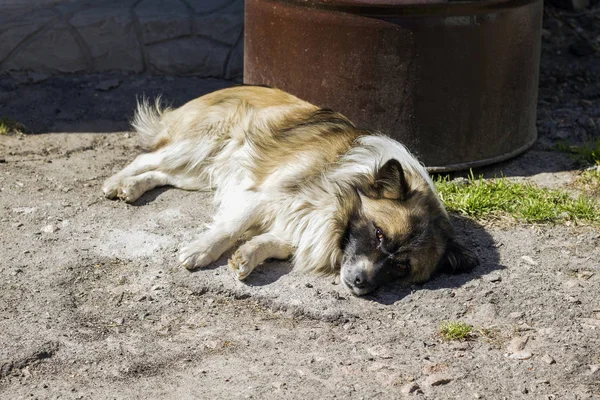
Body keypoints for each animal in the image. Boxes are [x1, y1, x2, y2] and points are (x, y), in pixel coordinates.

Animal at [103, 86, 478, 296]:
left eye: (401, 266)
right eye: (379, 234)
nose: (360, 282)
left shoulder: (304, 222)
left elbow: (279, 243)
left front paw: (248, 255)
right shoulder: (266, 196)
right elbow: (231, 227)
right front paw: (201, 251)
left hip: (202, 171)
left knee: (161, 173)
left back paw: (132, 187)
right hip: (202, 143)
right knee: (147, 157)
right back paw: (116, 182)